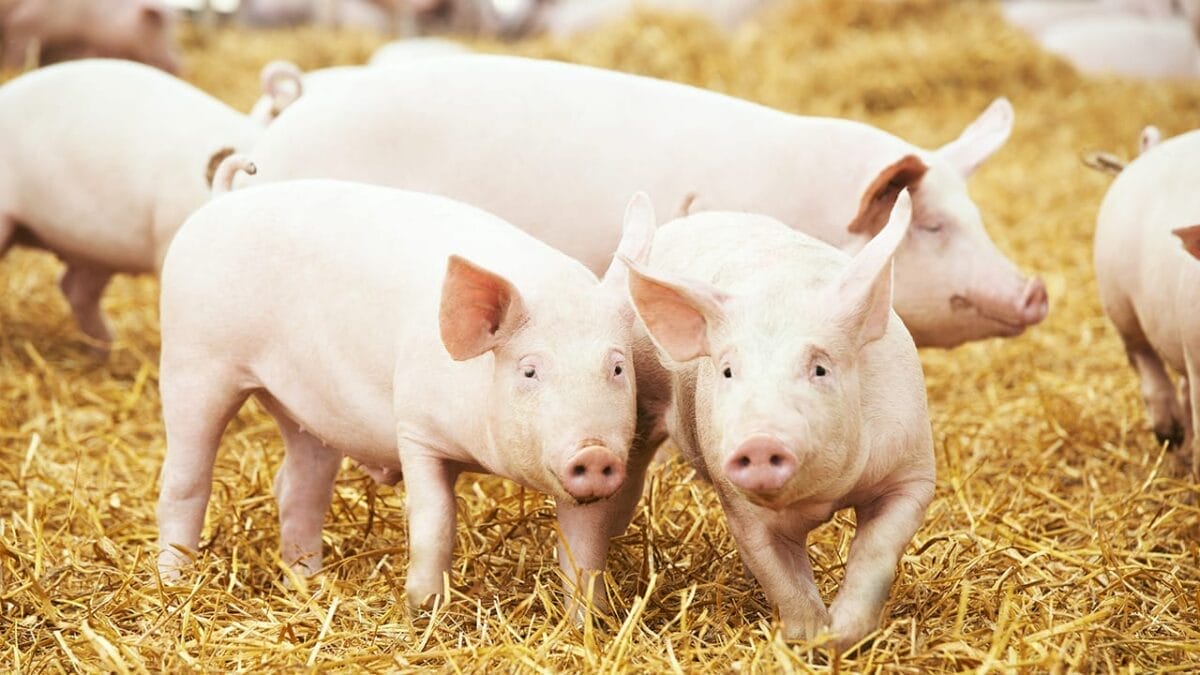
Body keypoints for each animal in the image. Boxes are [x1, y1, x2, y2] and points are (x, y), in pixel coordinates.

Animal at [0, 0, 180, 73]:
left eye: (173, 28)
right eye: (159, 26)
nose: (178, 66)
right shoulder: (25, 25)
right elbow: (15, 56)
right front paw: (10, 69)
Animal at [155, 169, 659, 614]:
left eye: (617, 367)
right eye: (530, 370)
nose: (594, 452)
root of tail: (219, 200)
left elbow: (585, 547)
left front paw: (589, 621)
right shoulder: (416, 429)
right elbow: (435, 518)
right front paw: (422, 606)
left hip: (307, 412)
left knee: (298, 489)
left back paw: (309, 583)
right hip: (193, 361)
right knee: (184, 482)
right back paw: (173, 581)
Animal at [621, 156, 934, 648]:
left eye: (820, 369)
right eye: (728, 371)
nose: (759, 441)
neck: (823, 498)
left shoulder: (913, 471)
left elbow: (876, 551)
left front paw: (841, 634)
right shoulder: (739, 505)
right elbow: (782, 579)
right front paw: (811, 638)